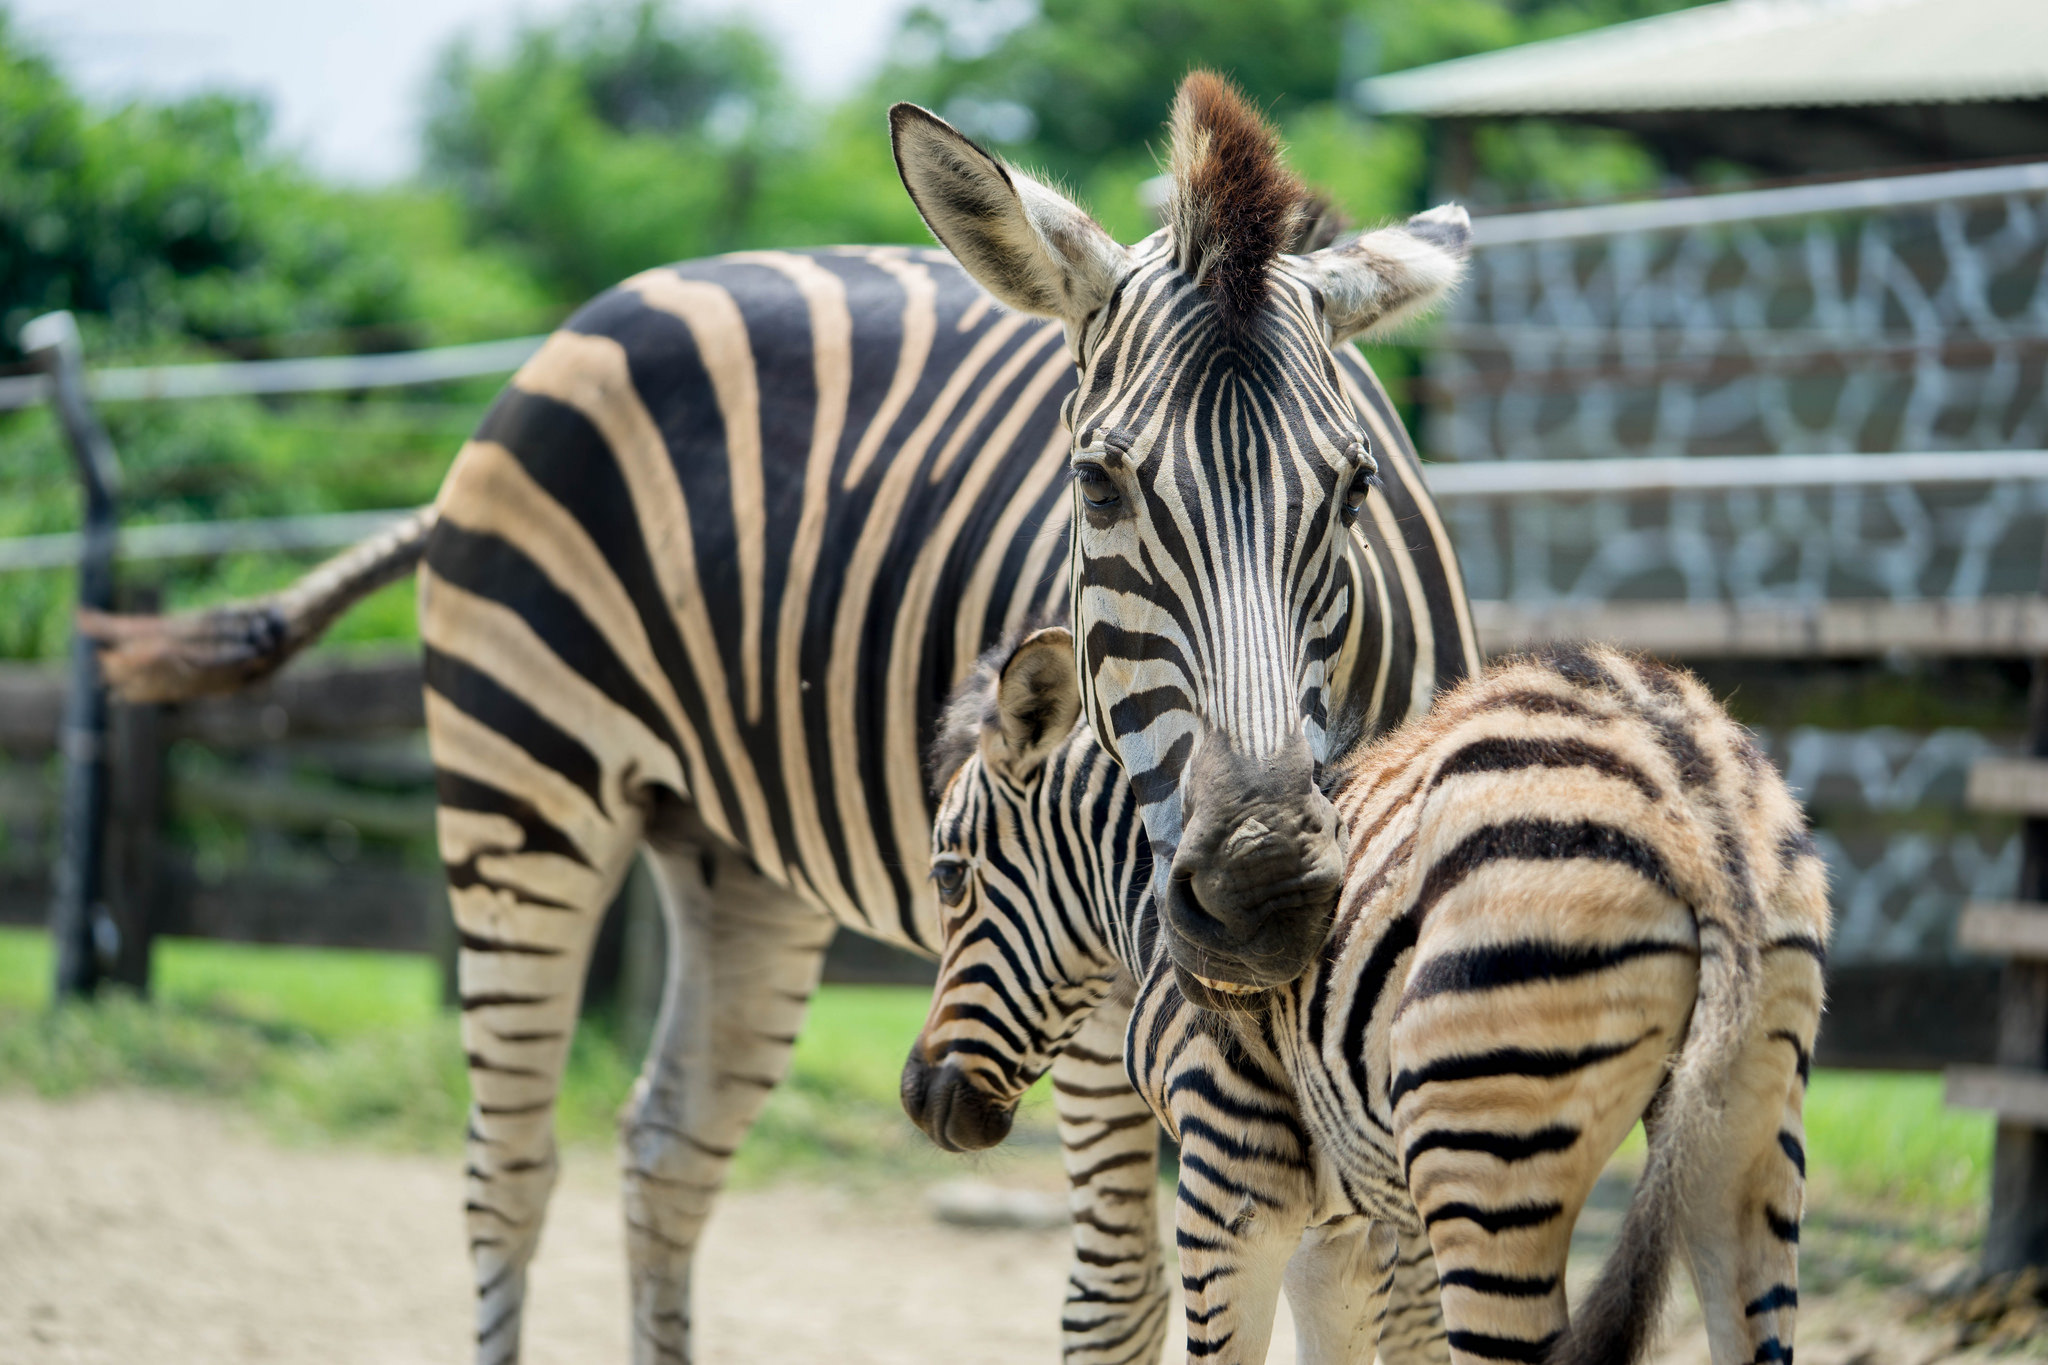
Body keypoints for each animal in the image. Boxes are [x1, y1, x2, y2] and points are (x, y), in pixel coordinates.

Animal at [79, 72, 1482, 1365]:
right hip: (518, 793)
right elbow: (1117, 1301)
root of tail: (588, 320)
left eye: (1352, 488)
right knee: (506, 1173)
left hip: (732, 861)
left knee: (667, 1150)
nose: (1259, 894)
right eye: (1096, 485)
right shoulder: (1075, 964)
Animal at [905, 630, 1835, 1365]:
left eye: (947, 875)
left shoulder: (1227, 1180)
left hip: (1484, 1159)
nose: (919, 1094)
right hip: (1741, 1137)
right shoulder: (1342, 1232)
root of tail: (1689, 786)